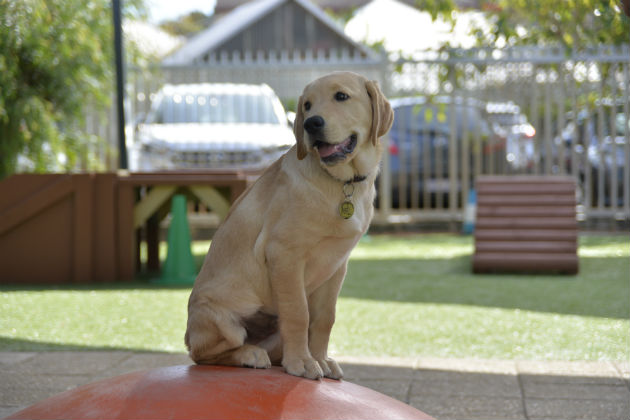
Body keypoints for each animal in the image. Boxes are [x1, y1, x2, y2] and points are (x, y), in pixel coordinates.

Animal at [185, 70, 392, 378]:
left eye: (341, 96)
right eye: (307, 105)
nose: (311, 123)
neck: (341, 183)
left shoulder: (337, 265)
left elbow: (324, 318)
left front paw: (320, 359)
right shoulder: (285, 255)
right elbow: (298, 314)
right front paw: (303, 363)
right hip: (219, 319)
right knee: (203, 355)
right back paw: (250, 354)